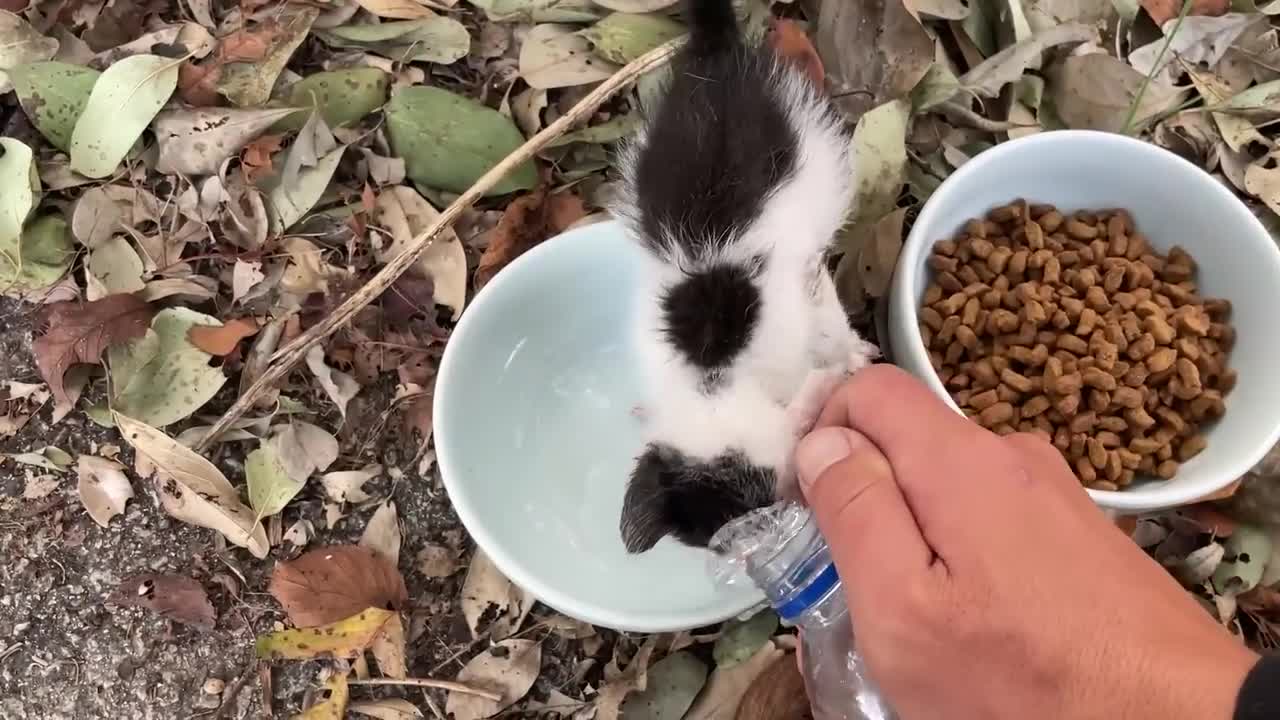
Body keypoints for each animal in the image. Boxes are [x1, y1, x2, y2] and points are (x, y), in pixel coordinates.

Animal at [611, 0, 875, 548]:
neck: (713, 376)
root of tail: (717, 59)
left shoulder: (799, 299)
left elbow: (825, 320)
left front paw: (845, 363)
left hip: (816, 151)